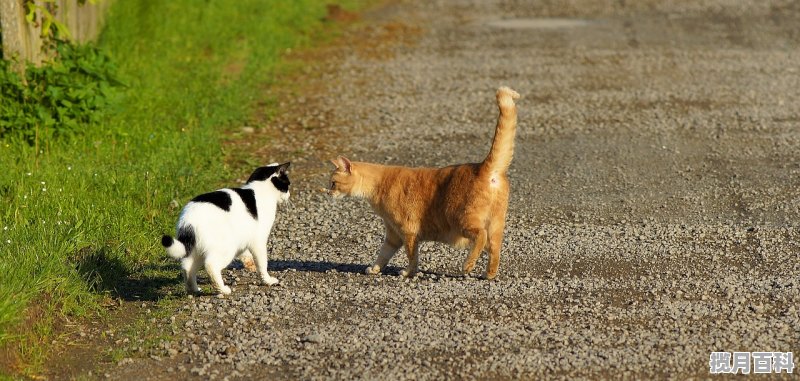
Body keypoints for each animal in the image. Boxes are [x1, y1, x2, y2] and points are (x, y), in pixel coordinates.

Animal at [161, 162, 290, 296]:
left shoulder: (244, 236)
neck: (261, 188)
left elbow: (244, 252)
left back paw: (194, 290)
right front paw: (267, 280)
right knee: (210, 265)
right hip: (225, 247)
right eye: (287, 185)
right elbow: (262, 263)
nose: (289, 195)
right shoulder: (258, 241)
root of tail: (187, 220)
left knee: (187, 267)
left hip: (196, 251)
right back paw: (222, 289)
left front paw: (248, 262)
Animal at [326, 86, 520, 278]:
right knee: (495, 248)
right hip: (495, 224)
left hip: (461, 219)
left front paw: (407, 272)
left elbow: (412, 256)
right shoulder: (393, 235)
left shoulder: (408, 231)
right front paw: (374, 268)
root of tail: (483, 167)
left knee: (481, 235)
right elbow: (383, 254)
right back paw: (489, 274)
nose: (328, 193)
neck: (379, 185)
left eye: (333, 183)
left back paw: (468, 265)